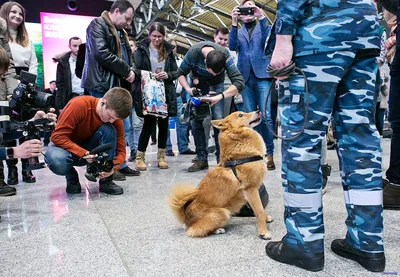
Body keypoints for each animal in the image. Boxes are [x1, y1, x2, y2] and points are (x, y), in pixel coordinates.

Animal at [167, 110, 274, 239]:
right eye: (240, 115)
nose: (258, 111)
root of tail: (186, 217)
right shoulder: (251, 189)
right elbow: (259, 211)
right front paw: (263, 232)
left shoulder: (252, 191)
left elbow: (259, 207)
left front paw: (266, 219)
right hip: (224, 213)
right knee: (195, 231)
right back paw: (217, 230)